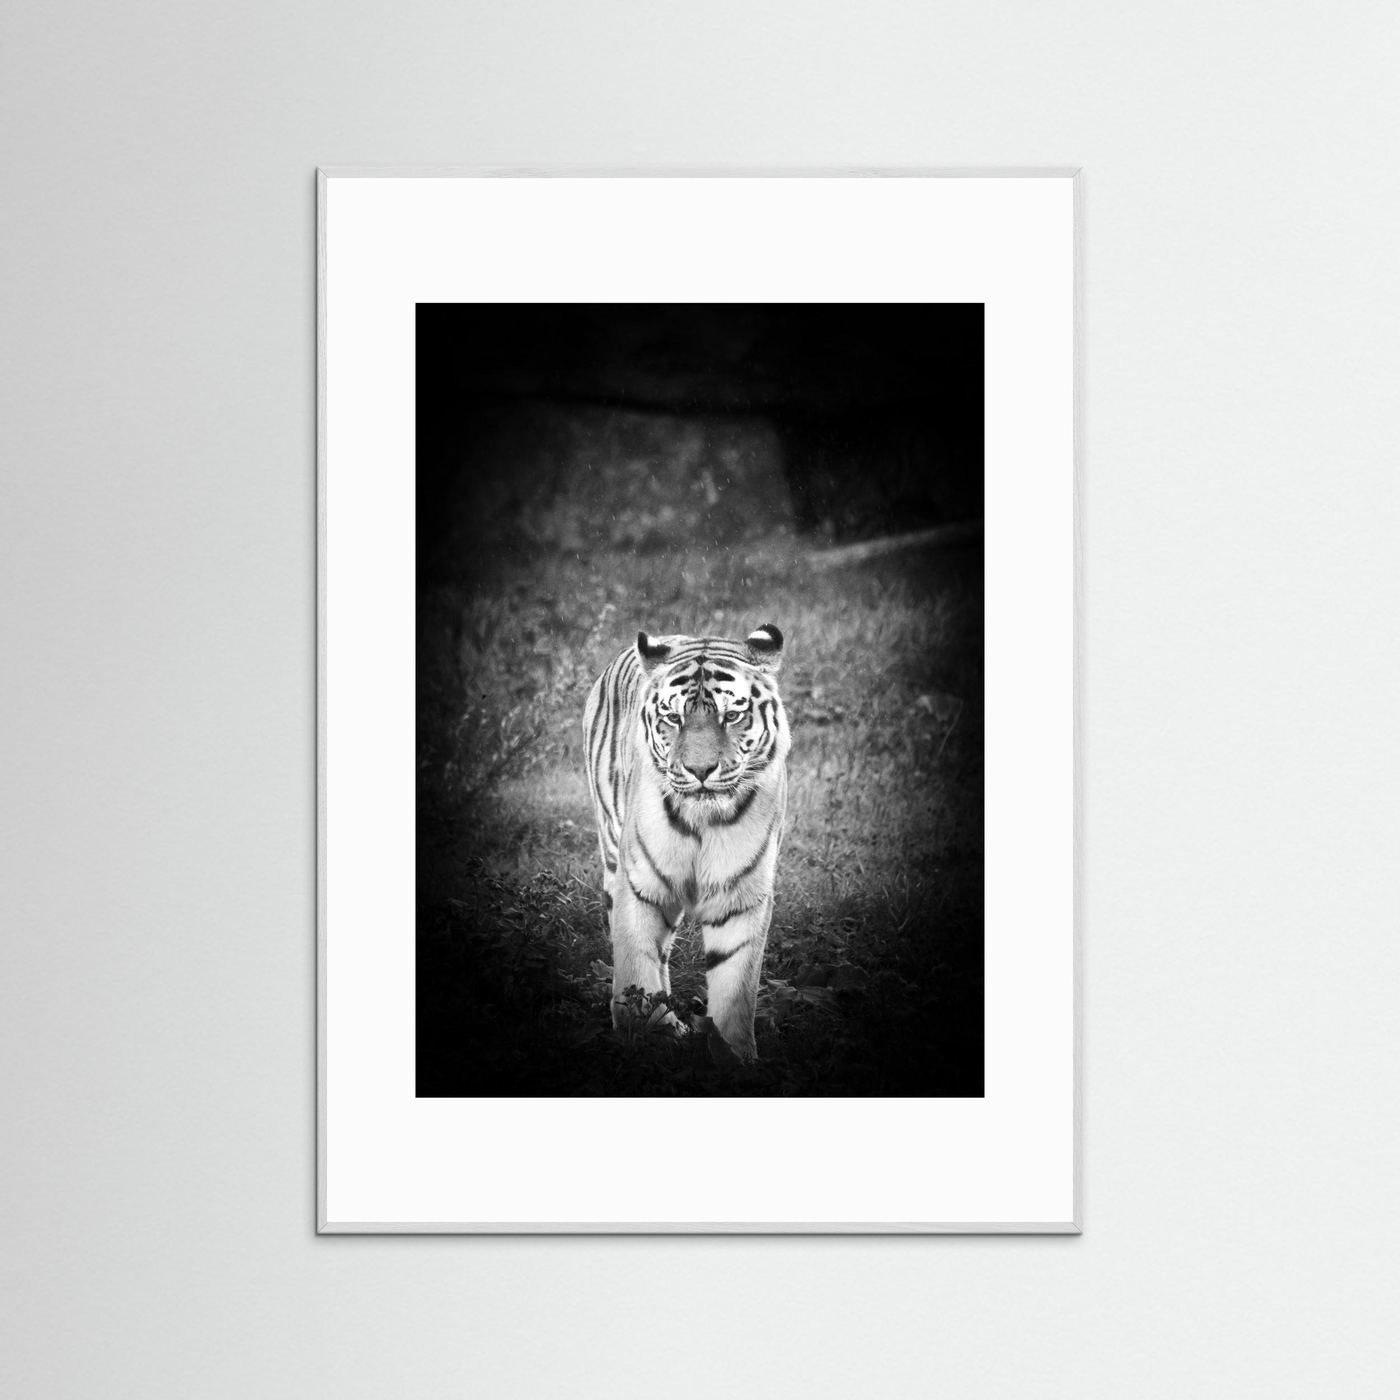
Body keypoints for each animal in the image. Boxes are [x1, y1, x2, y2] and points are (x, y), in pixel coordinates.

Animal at [582, 623, 790, 1061]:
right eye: (673, 718)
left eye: (732, 715)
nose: (700, 770)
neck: (702, 821)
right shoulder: (639, 885)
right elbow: (636, 965)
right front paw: (646, 1038)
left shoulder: (741, 896)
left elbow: (735, 986)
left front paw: (734, 1056)